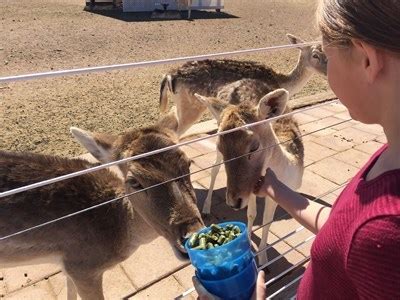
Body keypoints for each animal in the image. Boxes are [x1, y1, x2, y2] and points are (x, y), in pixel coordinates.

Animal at [194, 88, 304, 264]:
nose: (233, 202)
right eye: (221, 146)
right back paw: (205, 208)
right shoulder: (249, 188)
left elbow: (266, 220)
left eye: (254, 147)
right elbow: (251, 214)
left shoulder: (265, 192)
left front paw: (263, 260)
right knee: (214, 169)